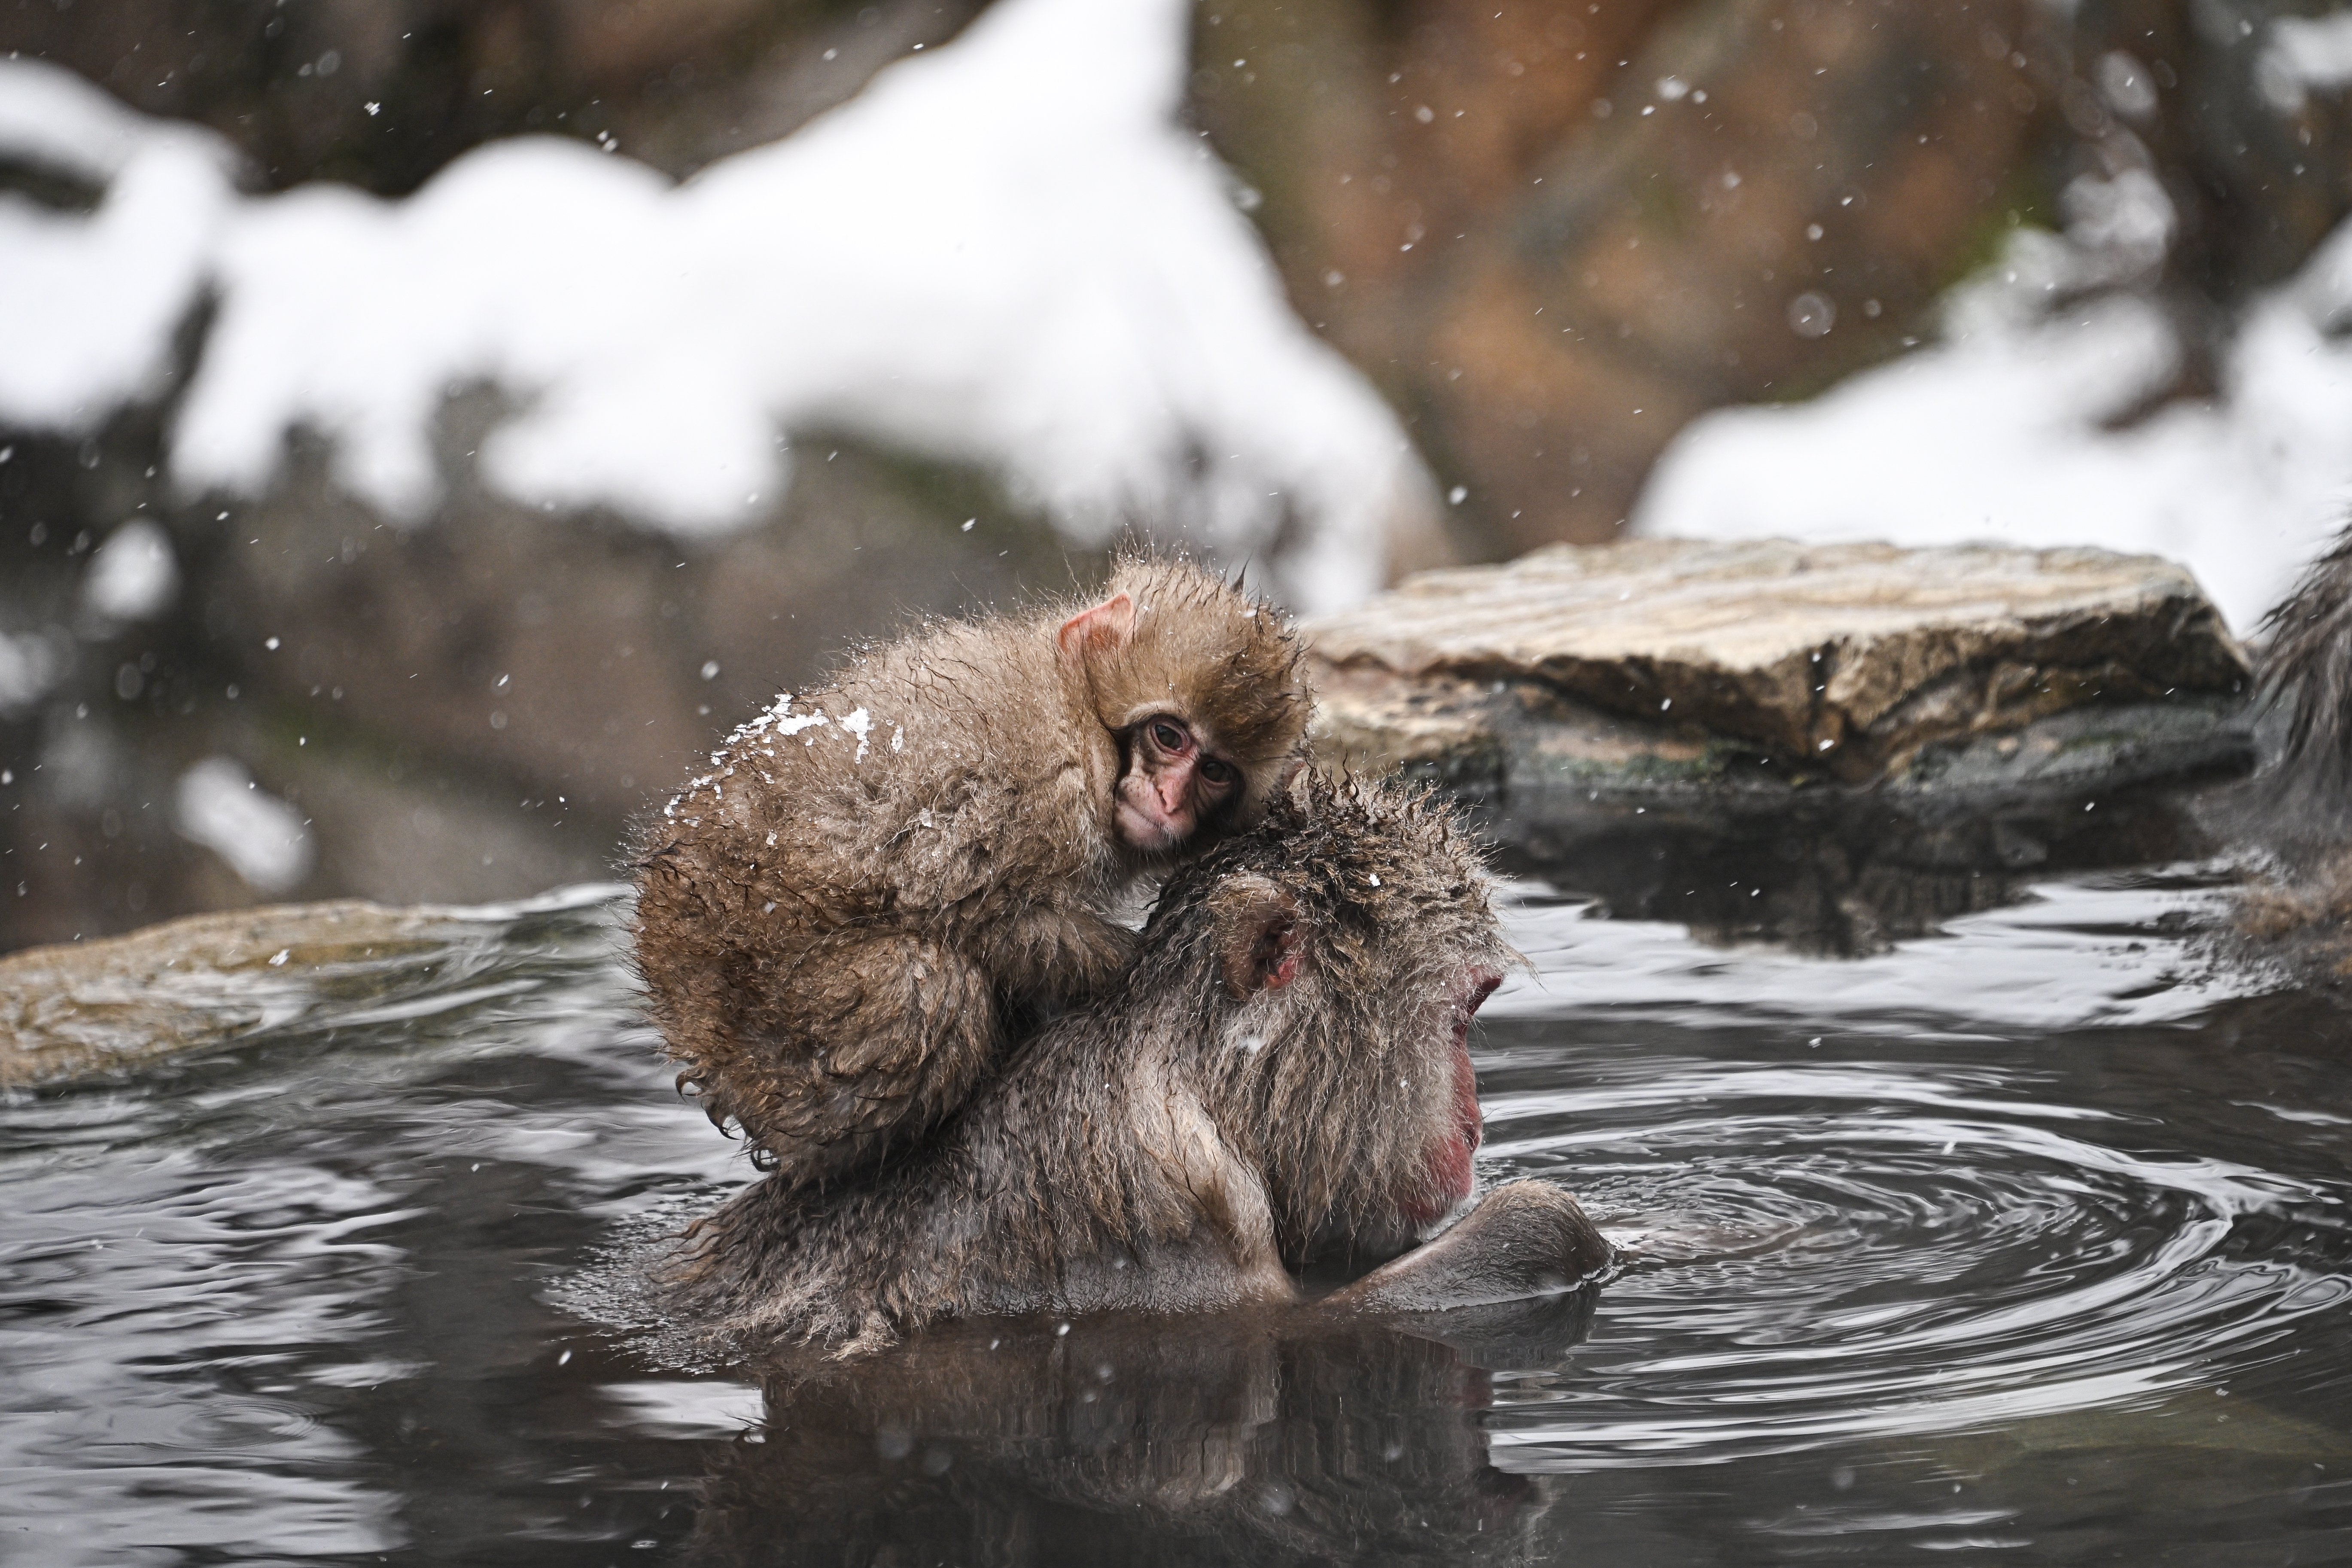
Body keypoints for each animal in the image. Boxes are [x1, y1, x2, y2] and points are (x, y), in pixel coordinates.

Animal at [629, 555, 1311, 1188]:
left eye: (1214, 771)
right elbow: (971, 906)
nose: (1168, 801)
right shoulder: (1042, 786)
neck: (1078, 705)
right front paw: (1143, 955)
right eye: (1168, 736)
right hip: (759, 1017)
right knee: (928, 990)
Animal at [663, 770, 1614, 1357]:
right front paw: (1550, 1224)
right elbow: (1286, 1331)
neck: (1199, 1088)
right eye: (1461, 1019)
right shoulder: (1150, 1192)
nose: (1473, 1125)